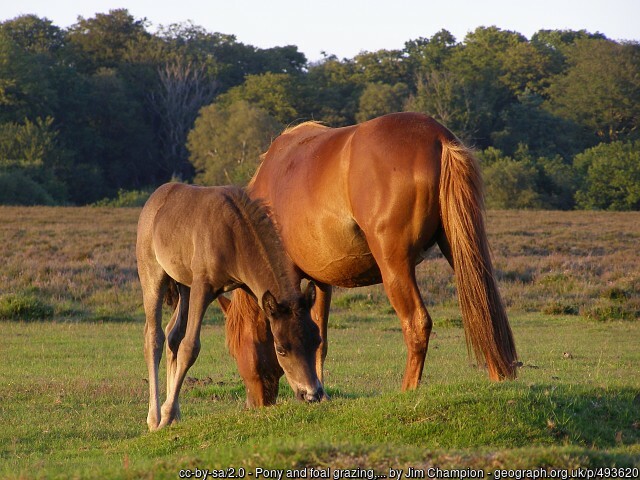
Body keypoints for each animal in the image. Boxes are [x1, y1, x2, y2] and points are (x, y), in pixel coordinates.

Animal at [137, 185, 322, 432]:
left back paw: (175, 413)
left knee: (172, 335)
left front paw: (172, 413)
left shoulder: (248, 287)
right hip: (153, 273)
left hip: (184, 285)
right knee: (154, 336)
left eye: (317, 341)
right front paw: (165, 417)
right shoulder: (202, 286)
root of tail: (156, 197)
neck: (234, 234)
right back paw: (155, 417)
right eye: (281, 349)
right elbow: (190, 347)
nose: (311, 394)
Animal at [222, 110, 516, 400]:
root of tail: (438, 138)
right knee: (484, 309)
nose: (256, 403)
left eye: (236, 349)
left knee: (417, 322)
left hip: (395, 268)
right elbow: (320, 337)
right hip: (458, 247)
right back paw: (498, 378)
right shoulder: (320, 281)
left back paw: (407, 389)